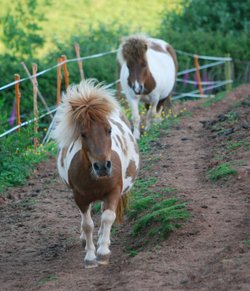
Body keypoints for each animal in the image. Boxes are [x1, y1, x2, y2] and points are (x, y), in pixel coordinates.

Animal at [52, 79, 140, 270]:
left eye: (109, 130)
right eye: (83, 134)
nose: (102, 167)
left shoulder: (113, 192)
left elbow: (107, 218)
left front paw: (103, 252)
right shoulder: (80, 197)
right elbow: (87, 225)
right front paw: (90, 257)